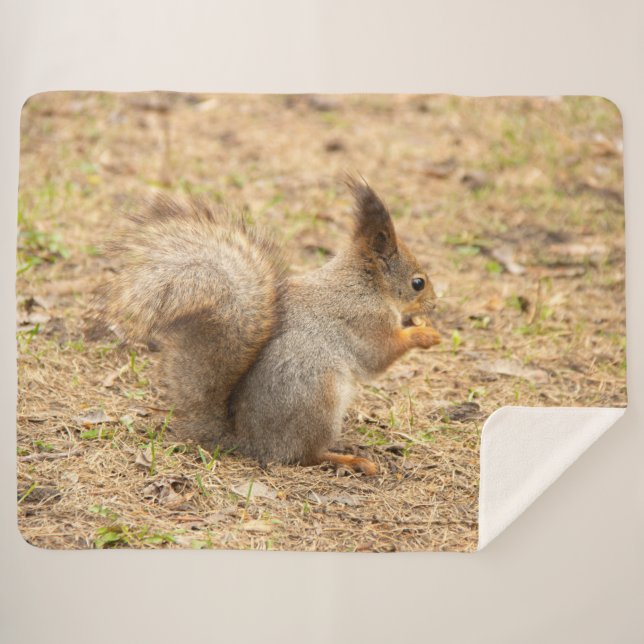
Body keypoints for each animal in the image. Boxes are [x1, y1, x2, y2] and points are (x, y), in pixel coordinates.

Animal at [97, 178, 441, 475]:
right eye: (418, 283)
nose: (435, 306)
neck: (365, 285)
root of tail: (250, 442)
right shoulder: (365, 320)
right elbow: (379, 356)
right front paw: (424, 334)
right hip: (319, 400)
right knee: (305, 456)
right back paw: (349, 460)